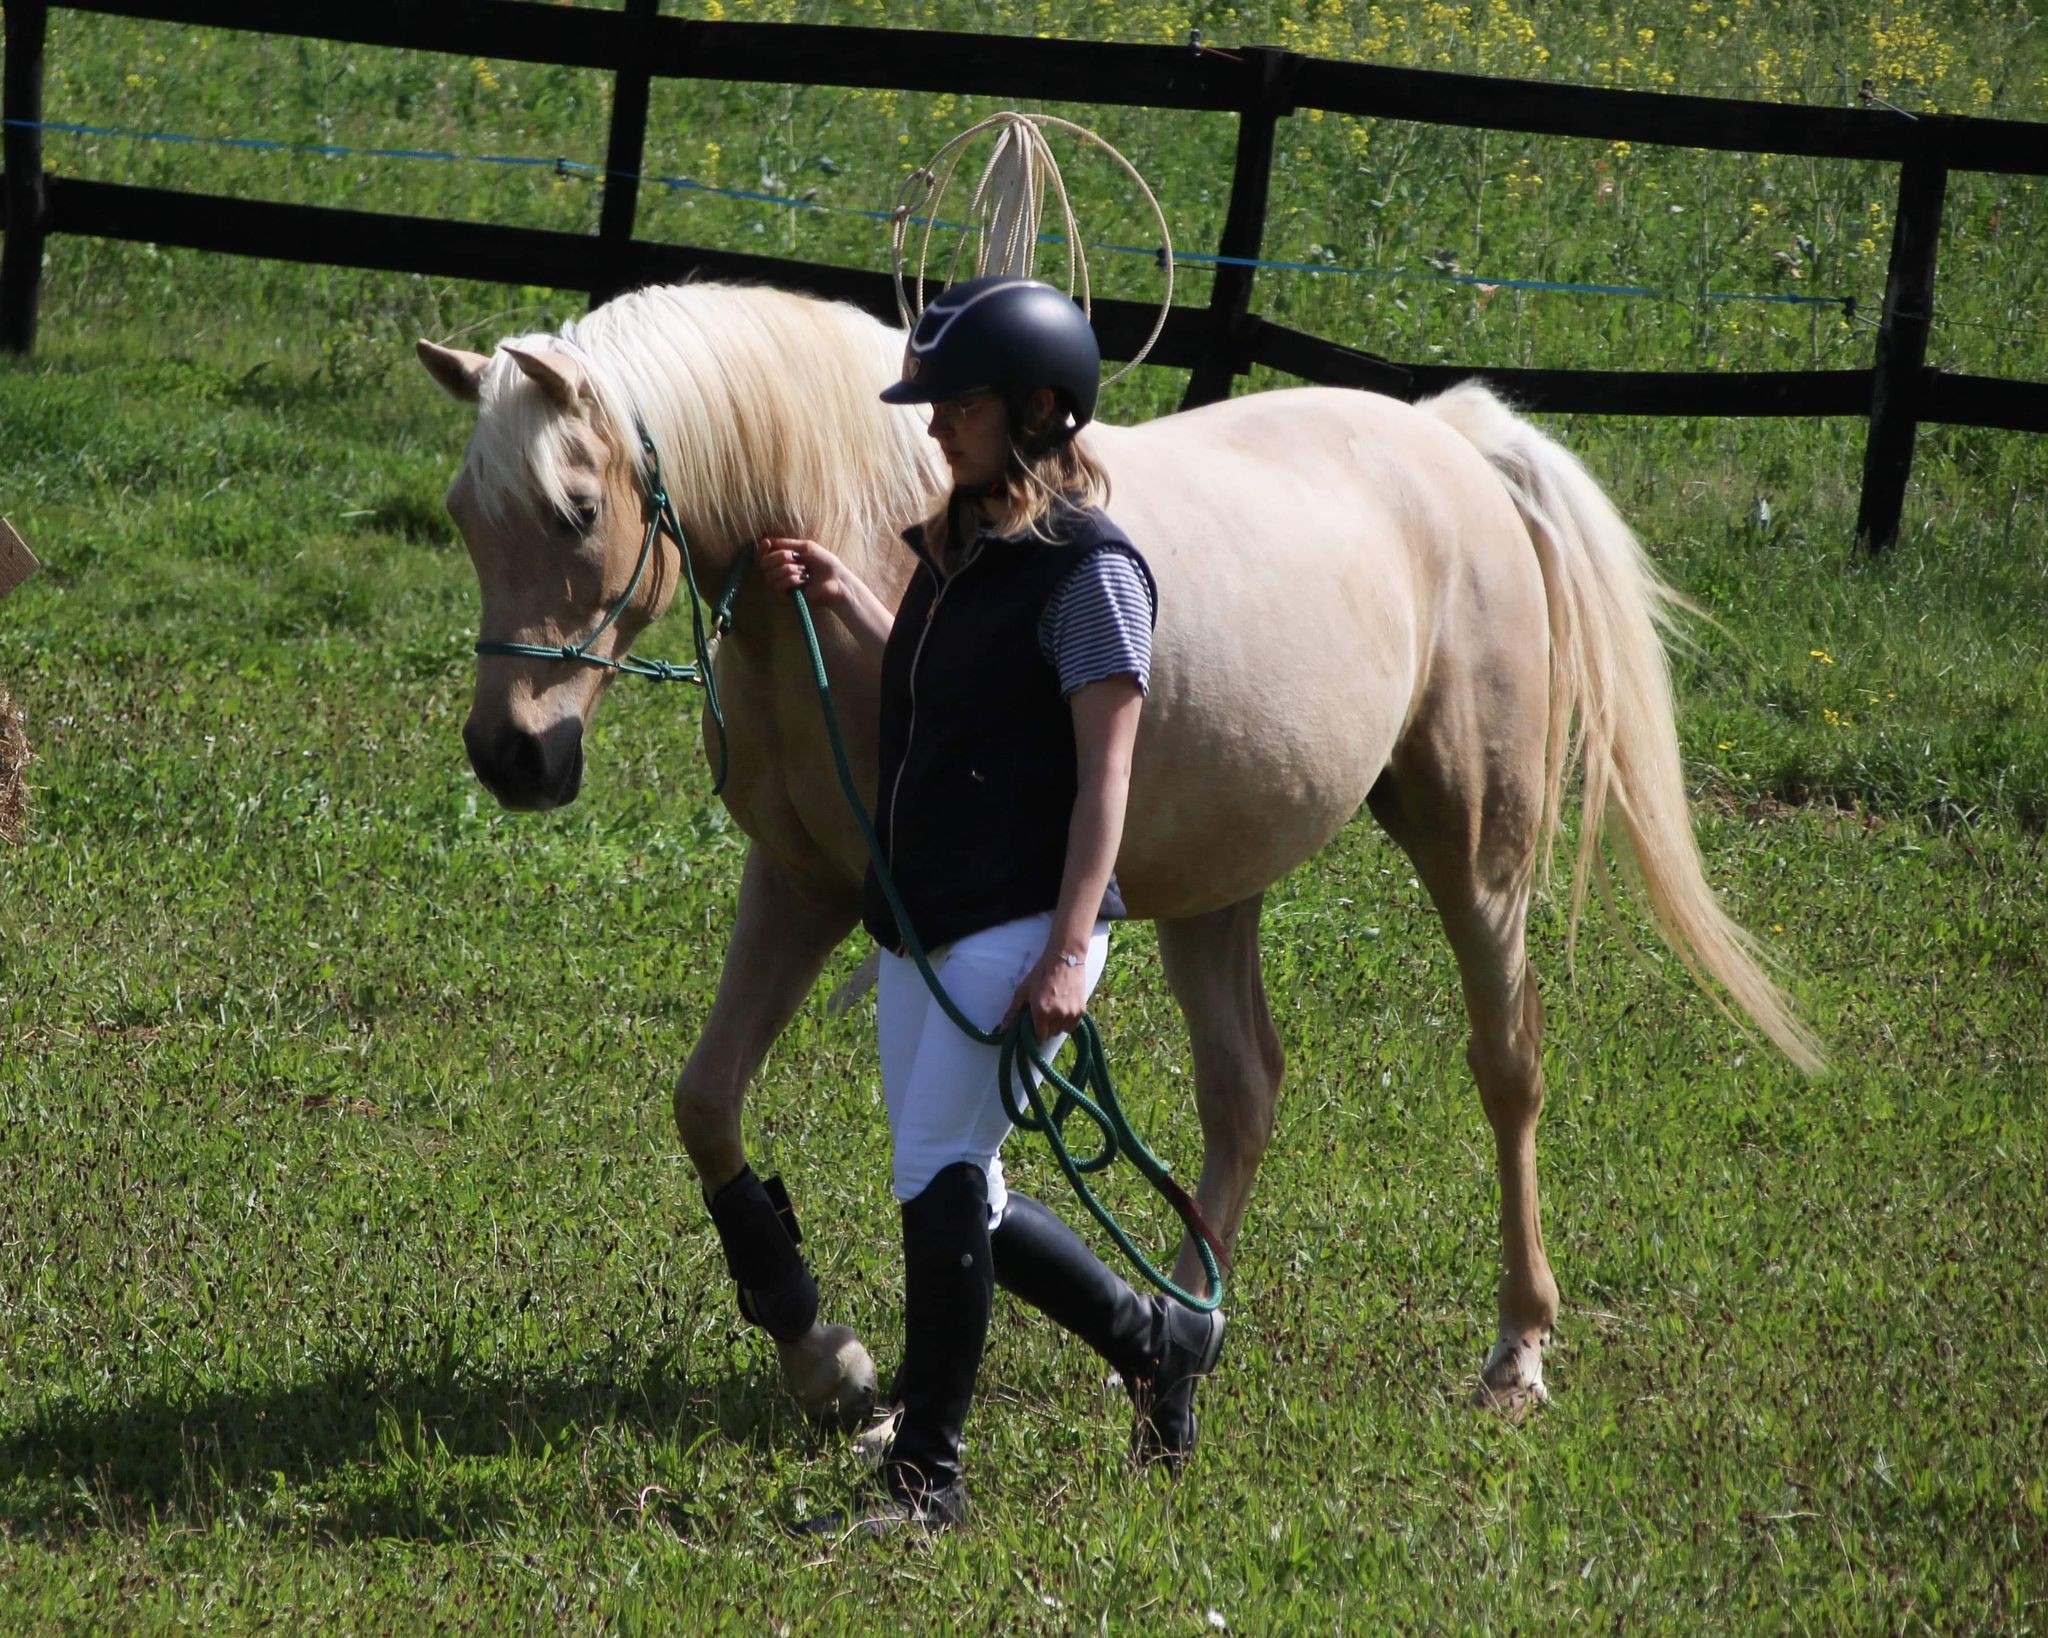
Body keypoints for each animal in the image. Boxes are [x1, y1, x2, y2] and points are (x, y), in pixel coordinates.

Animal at [419, 278, 1826, 1416]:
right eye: (463, 518)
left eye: (574, 511)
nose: (511, 756)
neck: (868, 524)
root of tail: (1449, 440)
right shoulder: (805, 883)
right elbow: (707, 1101)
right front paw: (825, 1358)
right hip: (1220, 883)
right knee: (1242, 1092)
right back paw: (1179, 1331)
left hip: (1473, 851)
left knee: (1505, 1069)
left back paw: (1514, 1350)